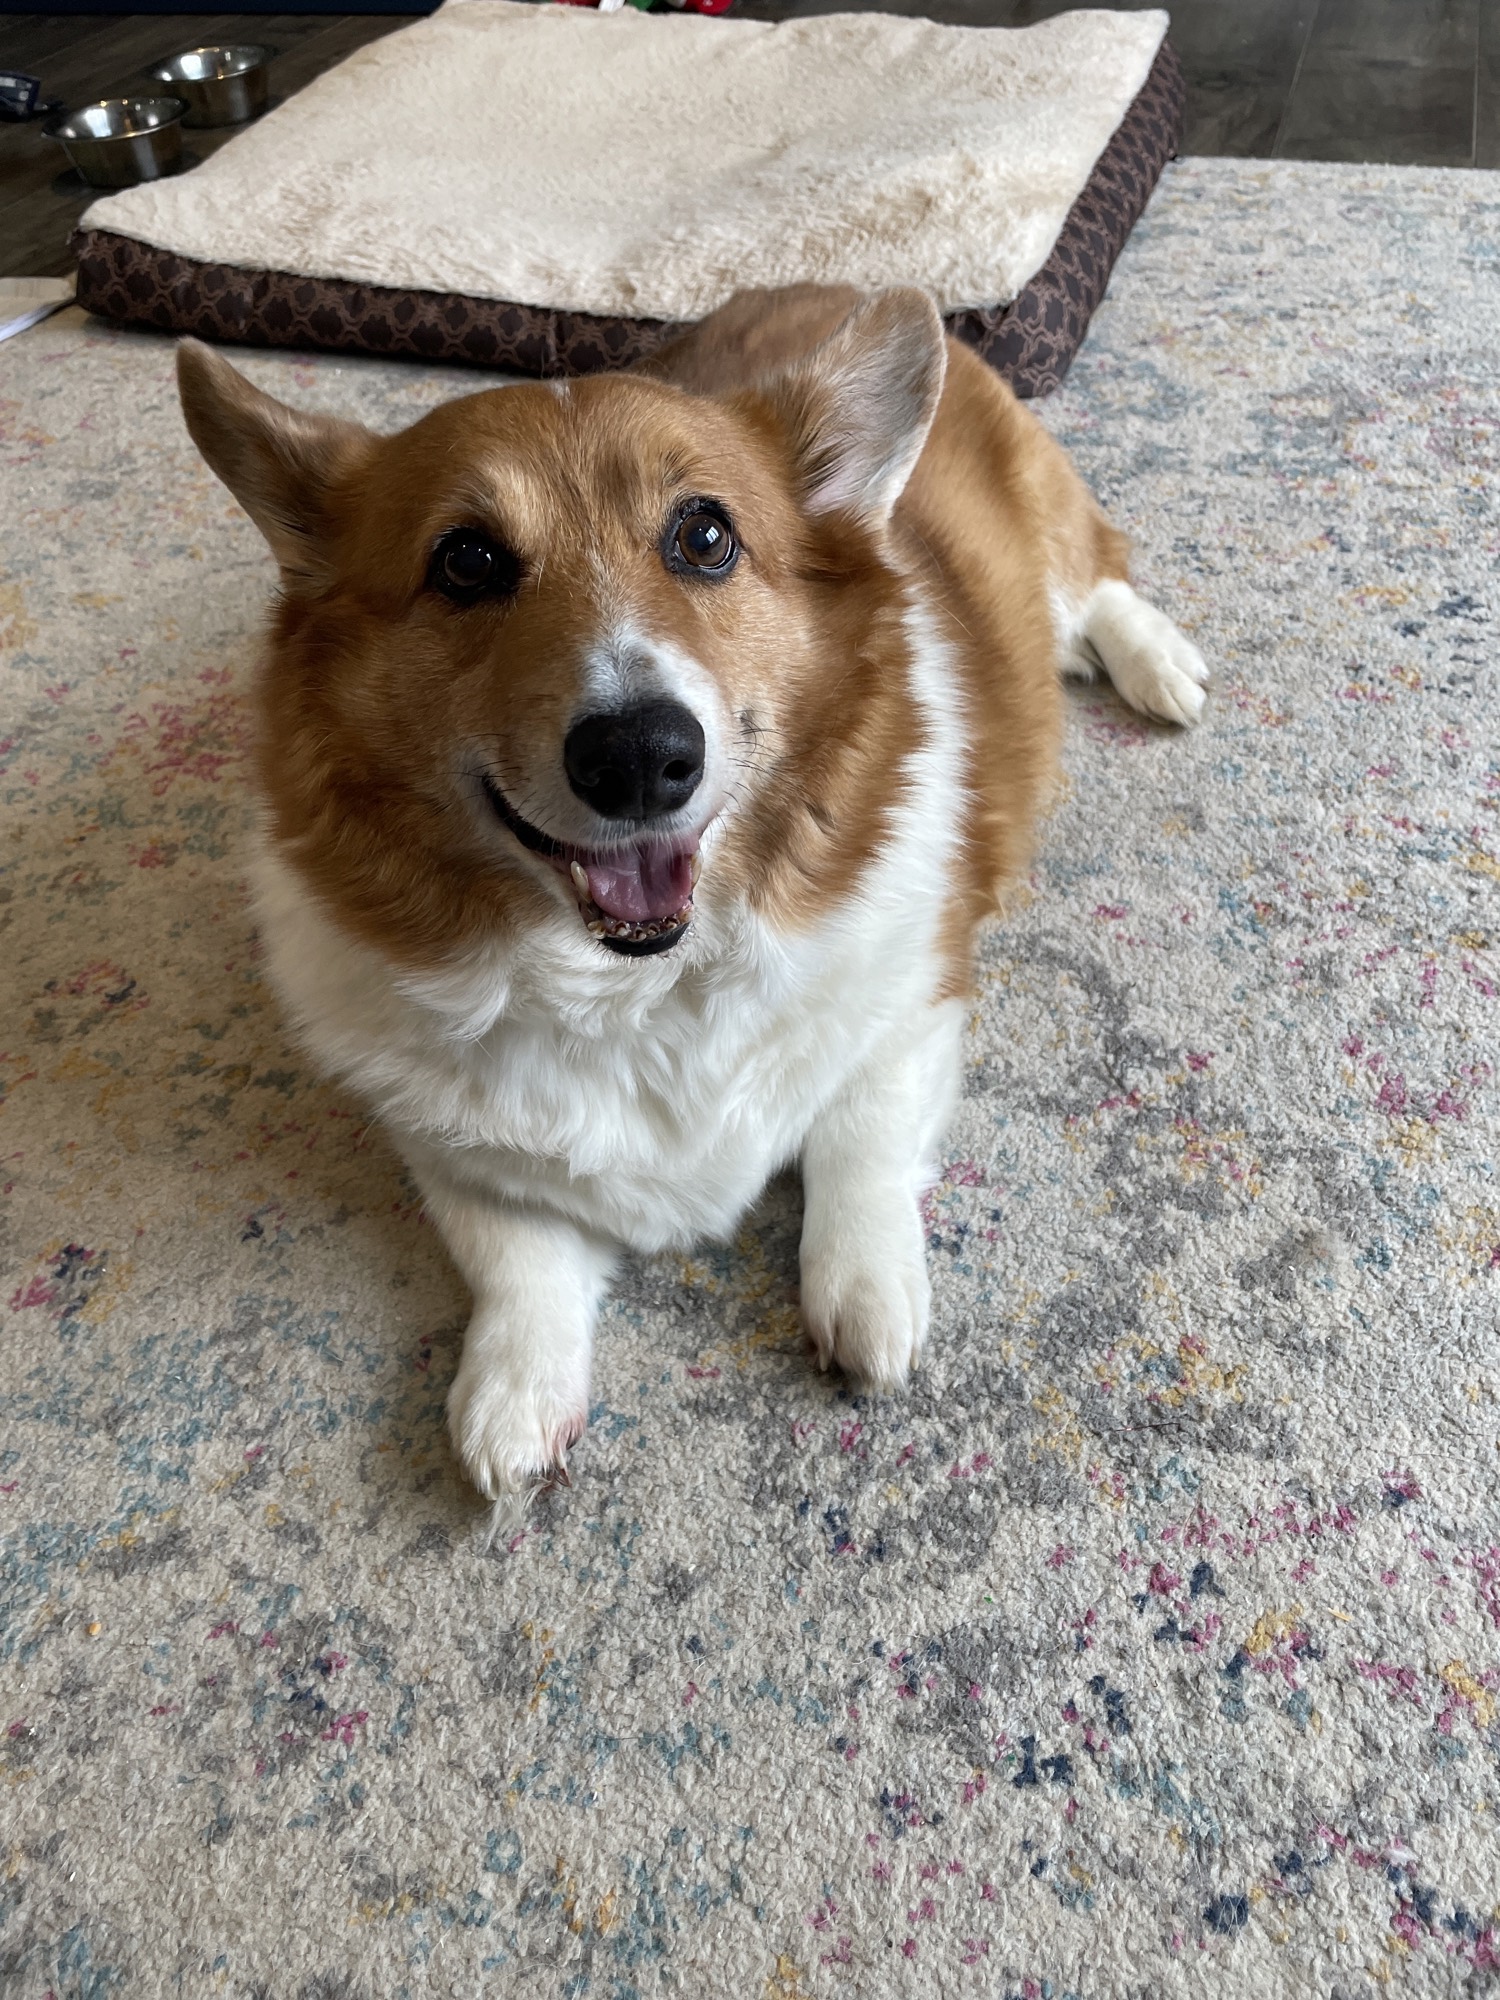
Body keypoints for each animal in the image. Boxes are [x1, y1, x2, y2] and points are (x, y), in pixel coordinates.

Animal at [177, 283, 1206, 1517]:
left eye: (704, 536)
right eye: (466, 562)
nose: (637, 756)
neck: (638, 982)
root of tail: (836, 285)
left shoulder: (916, 999)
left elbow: (858, 1143)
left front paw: (868, 1298)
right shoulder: (446, 1137)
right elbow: (515, 1251)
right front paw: (512, 1394)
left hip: (1044, 530)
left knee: (1095, 579)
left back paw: (1159, 664)